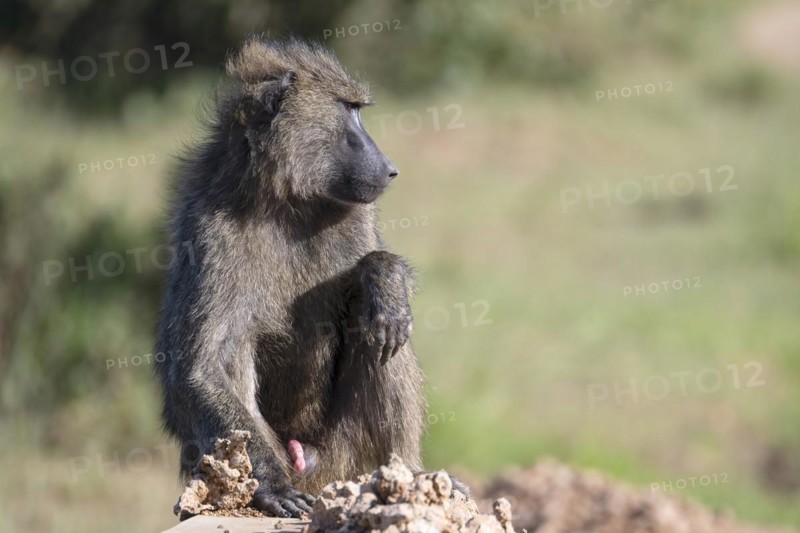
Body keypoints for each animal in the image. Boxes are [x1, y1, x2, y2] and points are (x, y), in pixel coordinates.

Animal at [154, 36, 427, 518]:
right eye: (348, 109)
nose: (390, 168)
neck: (286, 201)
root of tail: (314, 472)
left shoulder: (356, 215)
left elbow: (376, 273)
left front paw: (385, 280)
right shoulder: (207, 229)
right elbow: (198, 364)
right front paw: (272, 488)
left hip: (344, 457)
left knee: (383, 335)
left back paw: (409, 475)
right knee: (233, 348)